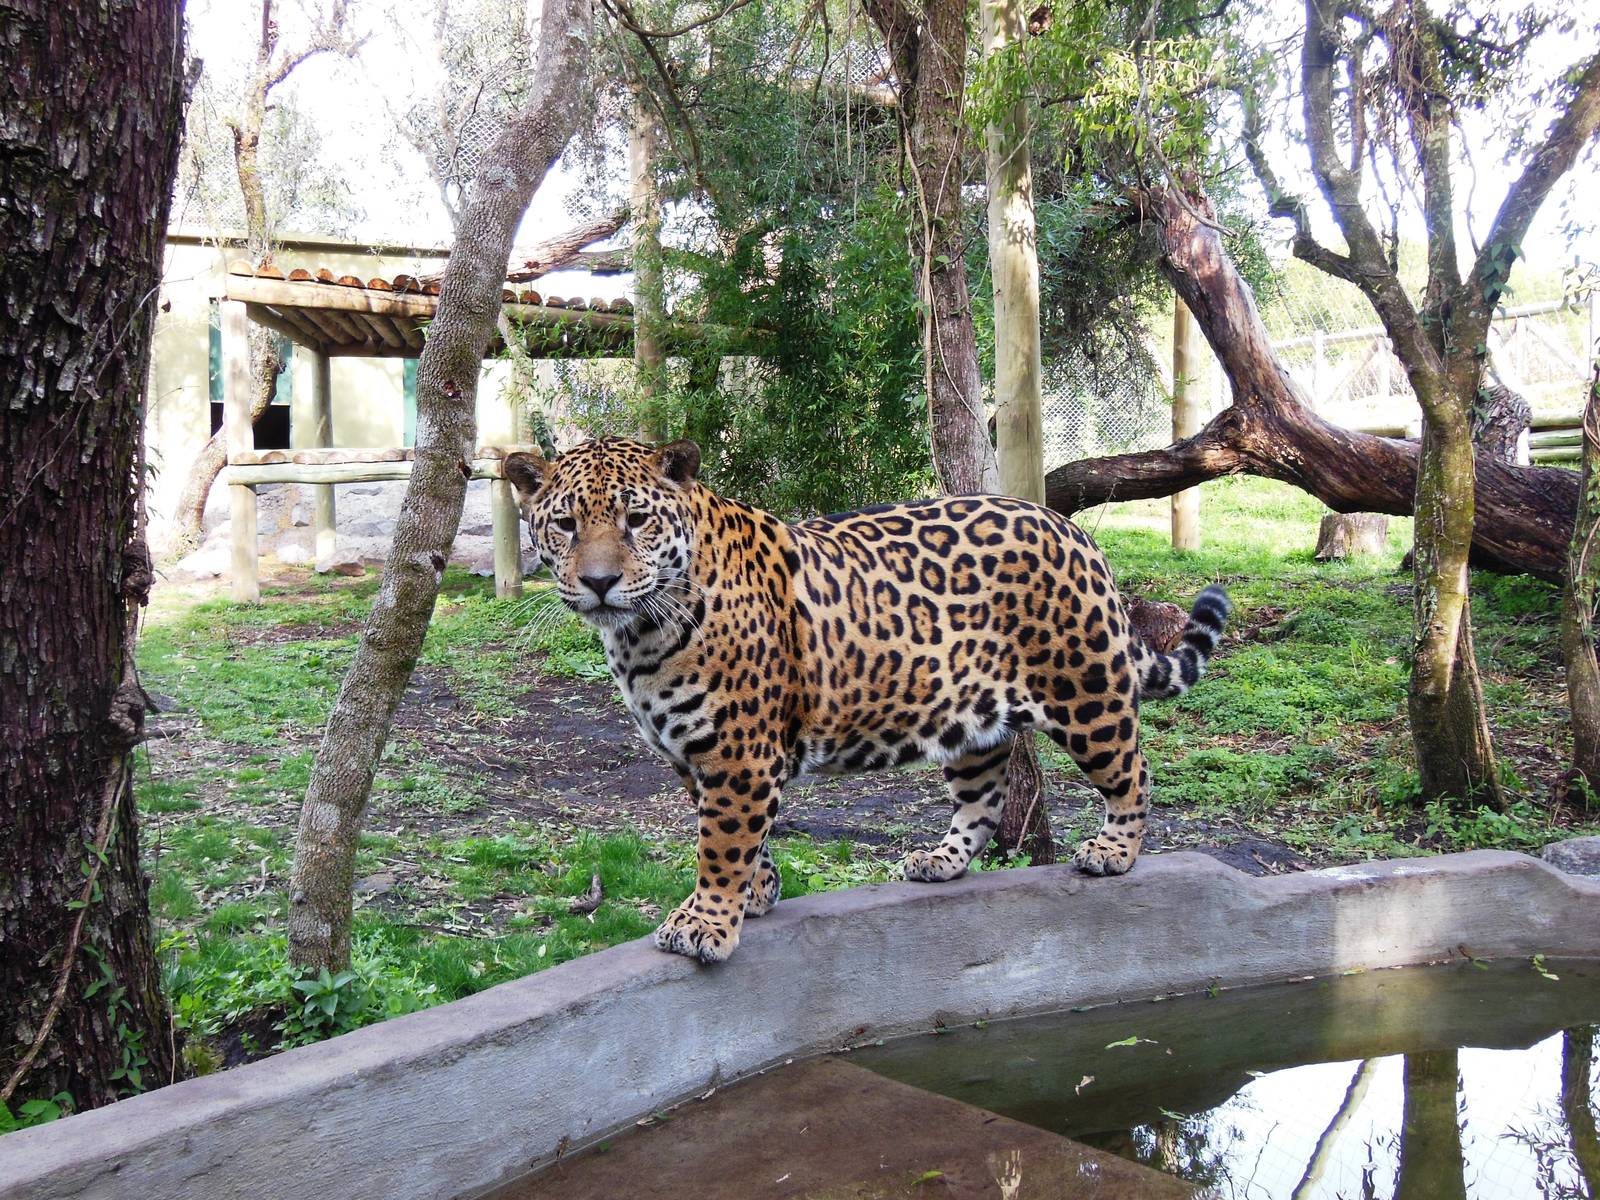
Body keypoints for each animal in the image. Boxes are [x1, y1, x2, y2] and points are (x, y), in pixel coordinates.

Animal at [504, 437, 1231, 964]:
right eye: (565, 524)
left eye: (638, 520)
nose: (599, 583)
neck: (640, 635)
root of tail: (1070, 529)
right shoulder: (695, 756)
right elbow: (743, 839)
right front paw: (758, 895)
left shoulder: (739, 756)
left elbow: (722, 842)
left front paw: (705, 922)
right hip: (970, 717)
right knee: (984, 796)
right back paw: (940, 861)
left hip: (1085, 689)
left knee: (1132, 770)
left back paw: (1113, 852)